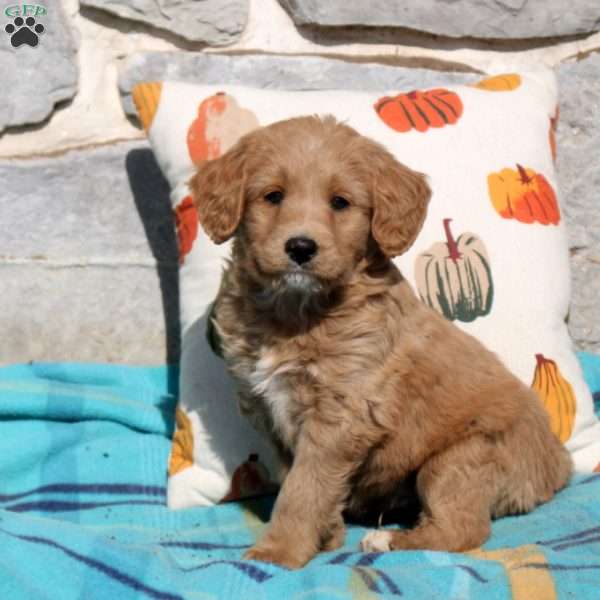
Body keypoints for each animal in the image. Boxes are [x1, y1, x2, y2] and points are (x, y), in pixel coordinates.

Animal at [190, 116, 576, 568]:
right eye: (273, 196)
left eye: (340, 202)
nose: (301, 247)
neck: (295, 313)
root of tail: (557, 464)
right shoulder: (272, 415)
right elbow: (297, 479)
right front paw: (325, 534)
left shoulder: (341, 413)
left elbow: (301, 490)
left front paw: (279, 551)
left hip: (459, 459)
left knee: (463, 529)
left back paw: (386, 540)